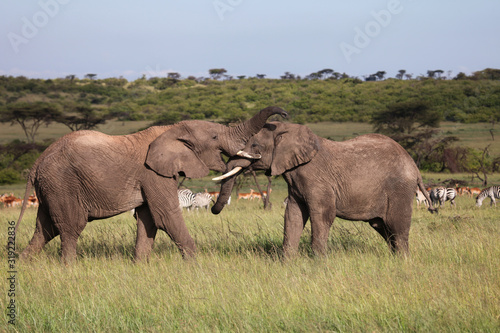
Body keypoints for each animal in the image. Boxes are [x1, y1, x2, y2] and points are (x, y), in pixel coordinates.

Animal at [15, 106, 288, 262]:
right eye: (213, 137)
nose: (284, 114)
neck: (172, 129)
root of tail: (37, 162)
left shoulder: (152, 176)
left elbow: (148, 220)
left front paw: (140, 266)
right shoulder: (153, 174)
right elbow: (165, 216)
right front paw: (196, 266)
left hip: (51, 187)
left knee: (45, 229)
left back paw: (23, 264)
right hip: (62, 182)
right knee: (70, 227)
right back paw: (69, 268)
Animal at [213, 120, 436, 255]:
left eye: (255, 146)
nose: (214, 209)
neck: (290, 130)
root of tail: (414, 165)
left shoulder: (318, 180)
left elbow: (322, 215)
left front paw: (318, 265)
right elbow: (292, 216)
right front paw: (287, 264)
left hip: (400, 188)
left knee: (397, 227)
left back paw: (403, 261)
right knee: (382, 227)